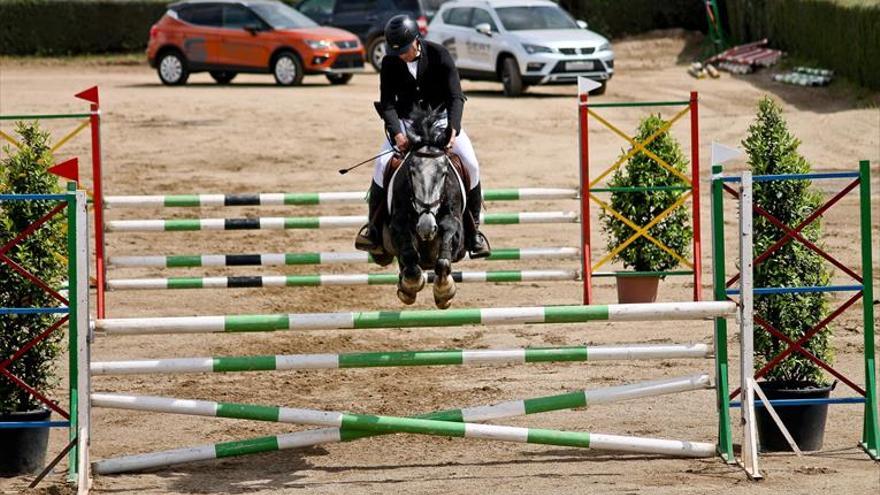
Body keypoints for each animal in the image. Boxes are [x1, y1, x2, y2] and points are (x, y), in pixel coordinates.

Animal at [380, 108, 470, 308]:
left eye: (444, 172)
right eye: (411, 171)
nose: (426, 228)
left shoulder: (455, 227)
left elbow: (444, 259)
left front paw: (444, 291)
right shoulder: (398, 226)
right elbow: (410, 259)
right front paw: (409, 287)